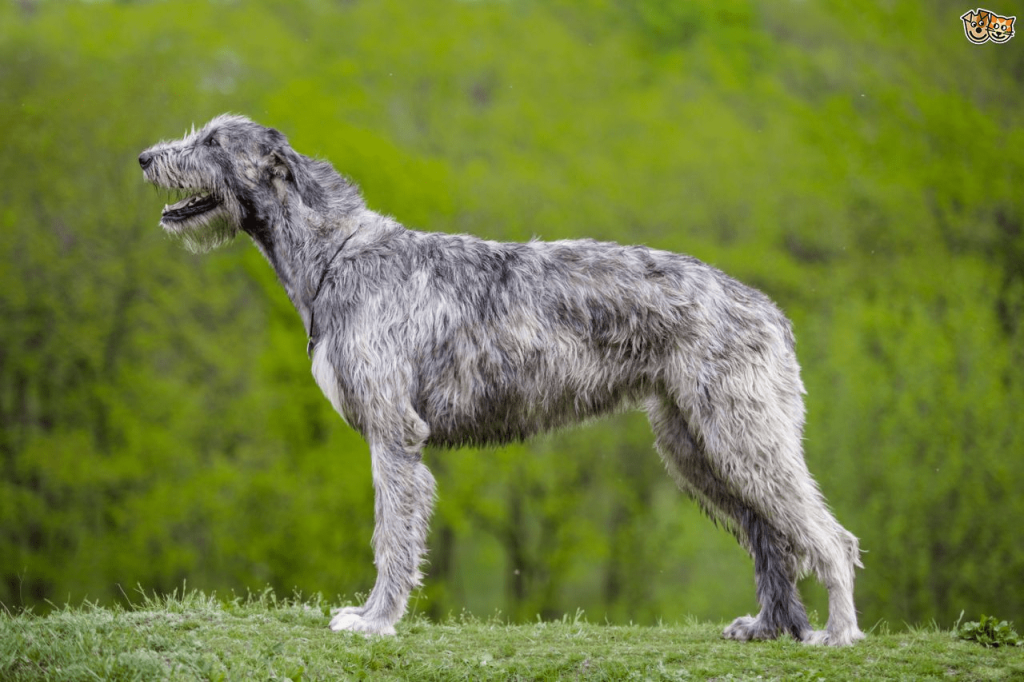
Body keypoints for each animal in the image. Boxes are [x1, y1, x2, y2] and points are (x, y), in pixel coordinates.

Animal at [140, 115, 864, 643]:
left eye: (212, 140)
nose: (146, 157)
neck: (337, 253)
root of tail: (769, 310)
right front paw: (375, 617)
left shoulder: (394, 434)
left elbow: (391, 535)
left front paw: (374, 621)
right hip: (696, 446)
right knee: (771, 536)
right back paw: (770, 628)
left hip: (741, 433)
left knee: (830, 537)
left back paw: (836, 635)